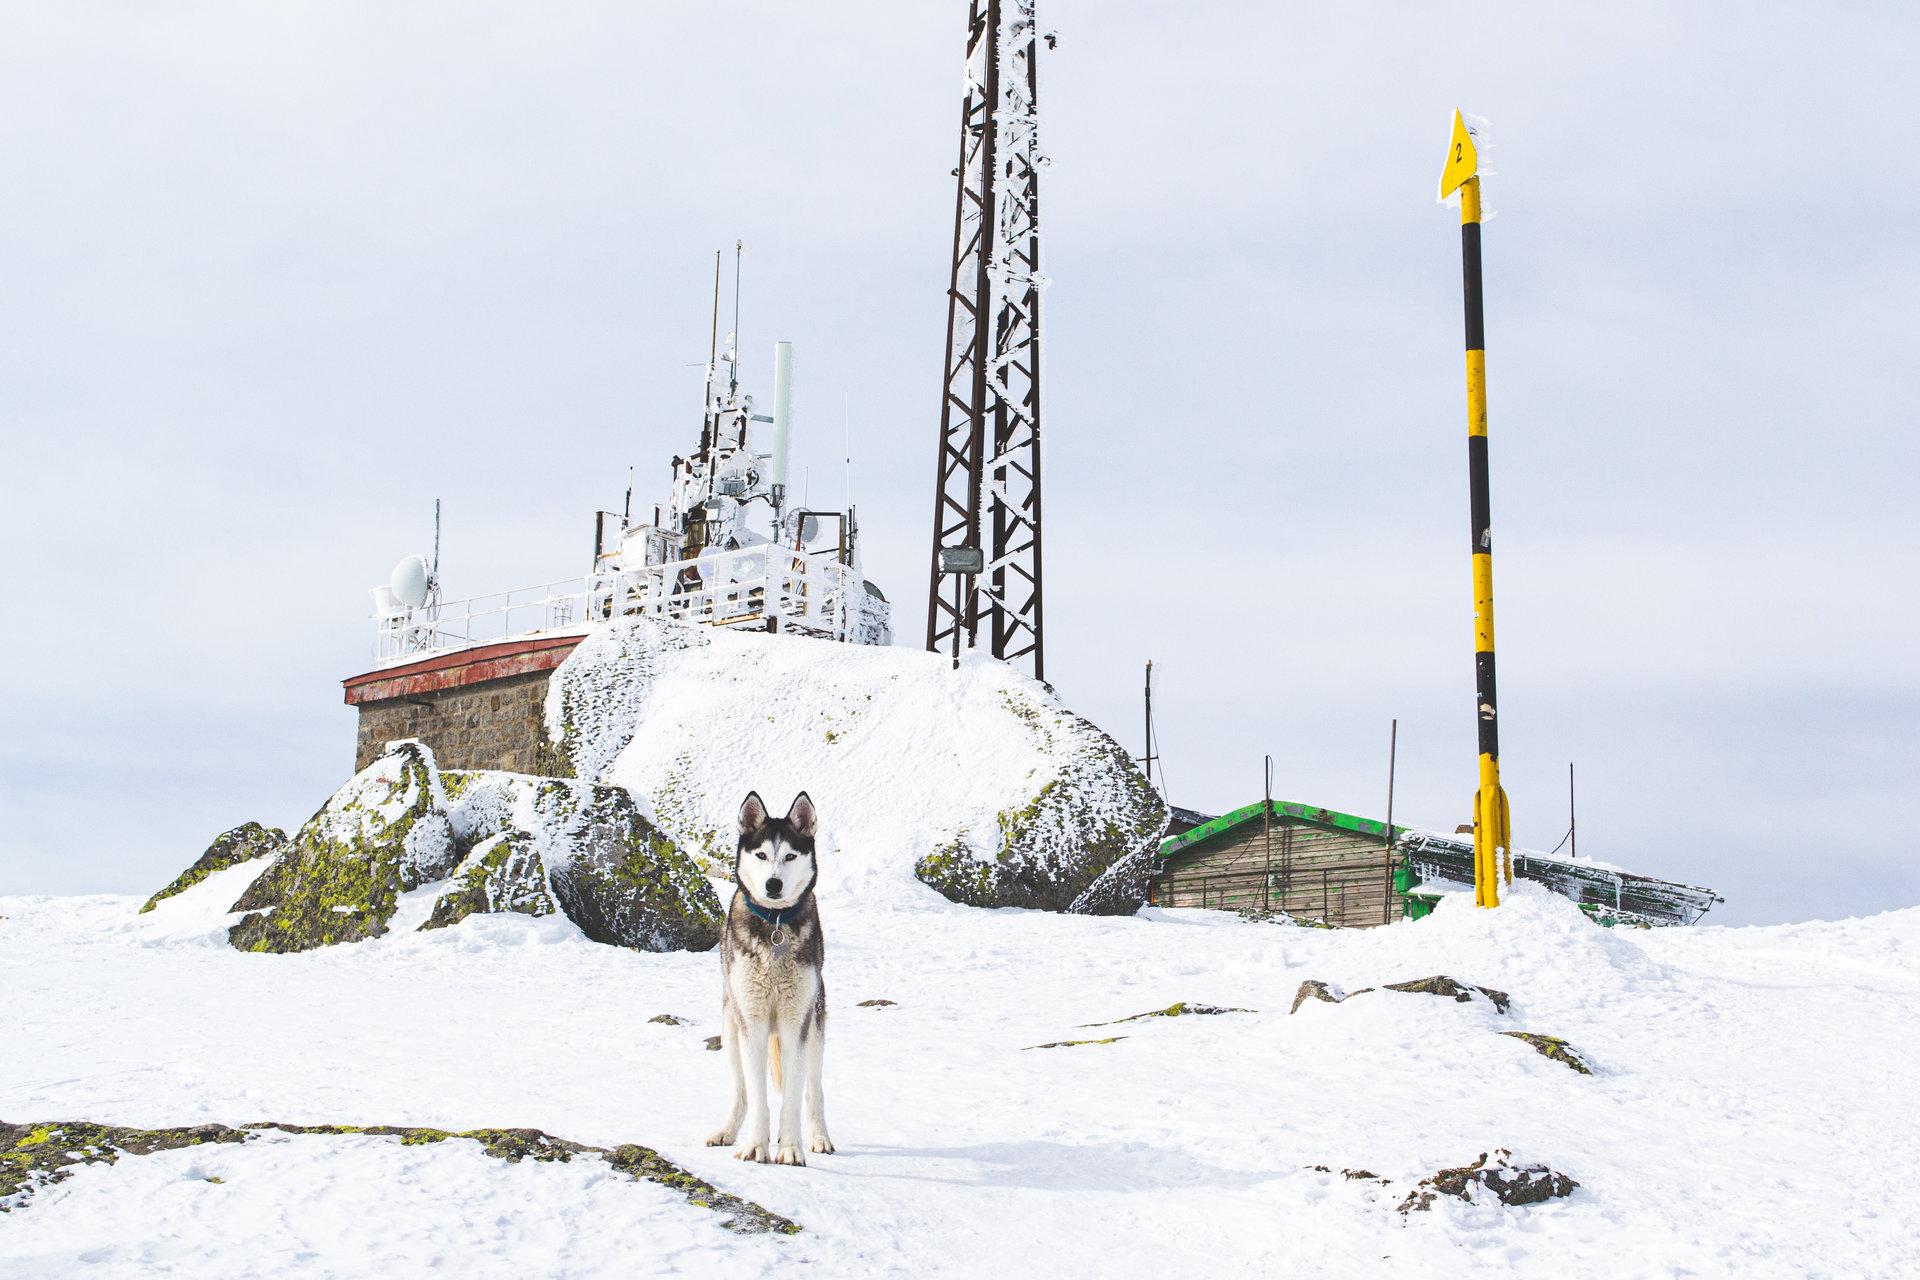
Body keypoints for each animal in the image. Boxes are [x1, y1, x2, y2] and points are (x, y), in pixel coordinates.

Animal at [702, 786, 829, 1166]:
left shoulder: (795, 1023)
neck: (774, 925)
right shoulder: (752, 1021)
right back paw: (728, 1131)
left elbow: (793, 1097)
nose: (773, 884)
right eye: (760, 854)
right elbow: (757, 1096)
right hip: (731, 1028)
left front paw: (790, 1148)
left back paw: (819, 1137)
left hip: (816, 1027)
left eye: (789, 855)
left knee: (814, 1091)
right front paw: (757, 1146)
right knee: (741, 1091)